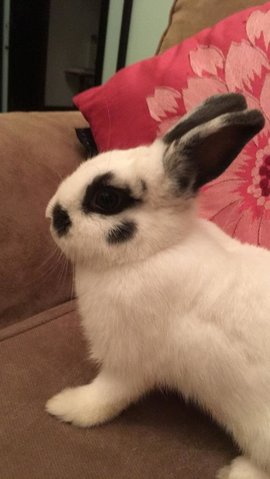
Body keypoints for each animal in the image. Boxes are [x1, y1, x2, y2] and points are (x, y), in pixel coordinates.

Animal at [45, 92, 270, 478]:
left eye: (106, 199)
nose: (51, 214)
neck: (156, 249)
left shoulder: (127, 362)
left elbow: (106, 395)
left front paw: (66, 406)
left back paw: (237, 470)